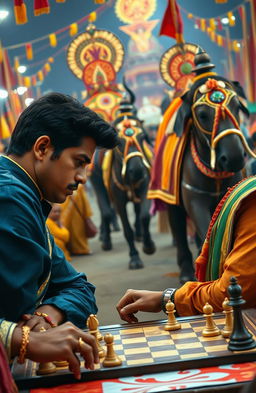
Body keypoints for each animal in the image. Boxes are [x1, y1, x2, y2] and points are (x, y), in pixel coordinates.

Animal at [103, 81, 157, 268]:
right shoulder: (117, 198)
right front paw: (134, 257)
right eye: (119, 141)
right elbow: (127, 229)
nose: (138, 170)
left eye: (143, 136)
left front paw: (149, 245)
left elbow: (145, 216)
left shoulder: (145, 186)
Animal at [148, 47, 254, 284]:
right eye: (203, 114)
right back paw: (187, 270)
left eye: (236, 106)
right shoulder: (193, 195)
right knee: (178, 224)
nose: (234, 157)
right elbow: (203, 224)